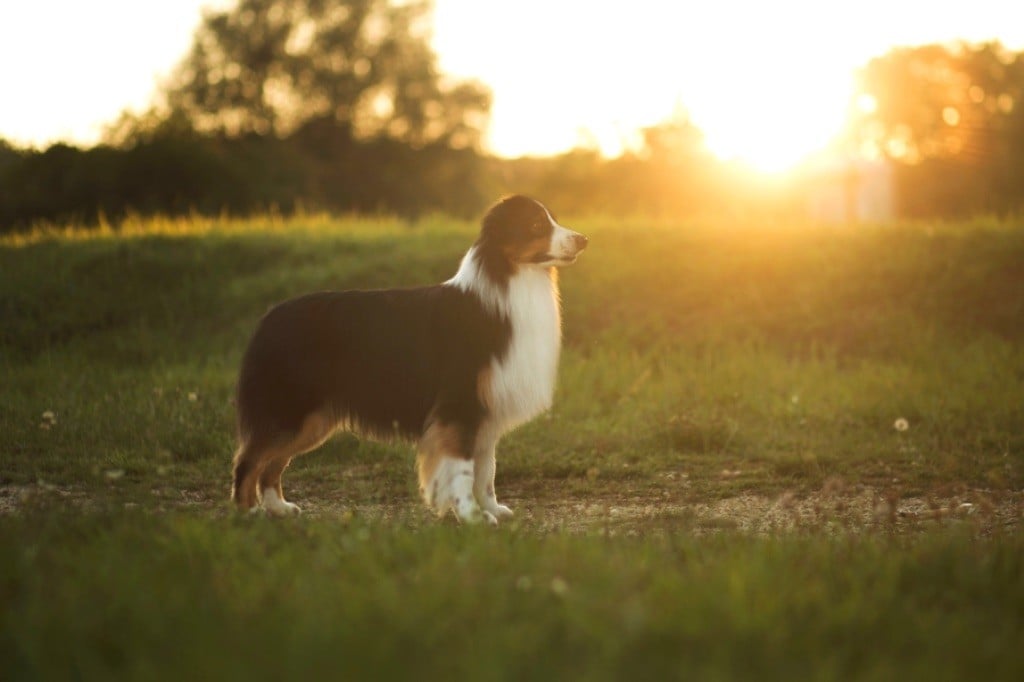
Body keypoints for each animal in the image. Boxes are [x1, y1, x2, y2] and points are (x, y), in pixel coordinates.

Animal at [230, 193, 585, 522]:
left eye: (553, 219)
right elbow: (464, 470)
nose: (583, 240)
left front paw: (493, 509)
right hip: (291, 411)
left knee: (272, 464)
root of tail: (269, 317)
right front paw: (472, 516)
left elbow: (487, 471)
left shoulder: (487, 410)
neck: (509, 280)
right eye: (536, 225)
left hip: (311, 420)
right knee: (249, 459)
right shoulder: (459, 406)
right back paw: (248, 513)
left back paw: (279, 507)